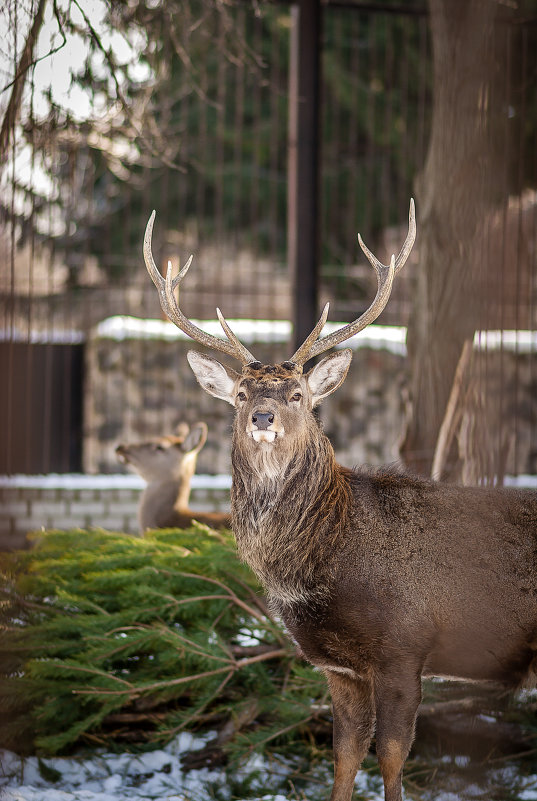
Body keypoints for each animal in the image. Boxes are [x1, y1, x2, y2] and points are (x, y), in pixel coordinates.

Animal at [141, 202, 536, 800]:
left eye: (297, 394)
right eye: (241, 393)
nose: (262, 416)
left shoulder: (404, 648)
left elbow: (392, 759)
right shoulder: (338, 667)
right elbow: (344, 757)